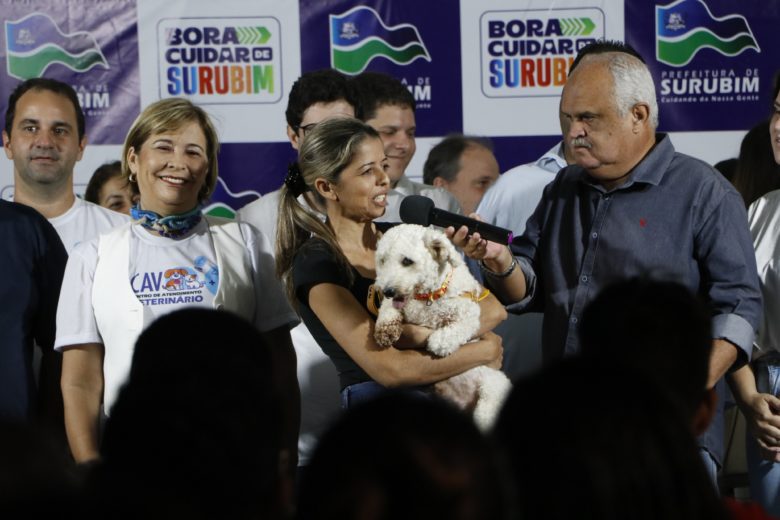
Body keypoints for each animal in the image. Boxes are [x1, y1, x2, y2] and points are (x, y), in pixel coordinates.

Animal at [376, 223, 516, 430]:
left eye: (407, 261)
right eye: (383, 260)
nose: (388, 291)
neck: (427, 296)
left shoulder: (469, 312)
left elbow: (456, 329)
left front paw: (439, 342)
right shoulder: (398, 305)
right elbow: (386, 310)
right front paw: (385, 330)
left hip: (492, 391)